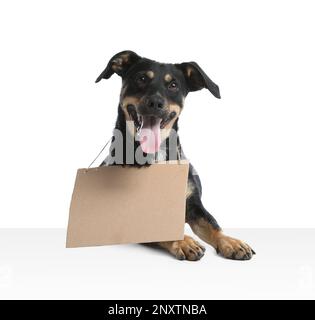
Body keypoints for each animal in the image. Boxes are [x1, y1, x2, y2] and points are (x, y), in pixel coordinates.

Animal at [95, 50, 256, 260]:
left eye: (173, 85)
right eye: (141, 78)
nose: (155, 102)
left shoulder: (193, 205)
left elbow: (212, 223)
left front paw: (230, 242)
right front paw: (185, 241)